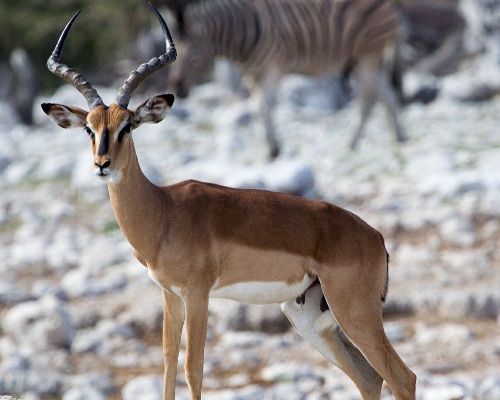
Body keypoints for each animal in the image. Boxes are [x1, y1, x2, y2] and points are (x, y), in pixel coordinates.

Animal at [168, 0, 406, 158]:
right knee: (384, 94)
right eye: (174, 53)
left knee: (367, 99)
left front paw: (273, 149)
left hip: (368, 53)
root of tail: (389, 4)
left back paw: (354, 142)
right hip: (358, 58)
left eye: (192, 52)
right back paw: (397, 138)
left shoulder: (273, 67)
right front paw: (270, 145)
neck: (239, 33)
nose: (177, 89)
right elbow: (256, 106)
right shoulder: (252, 73)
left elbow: (263, 105)